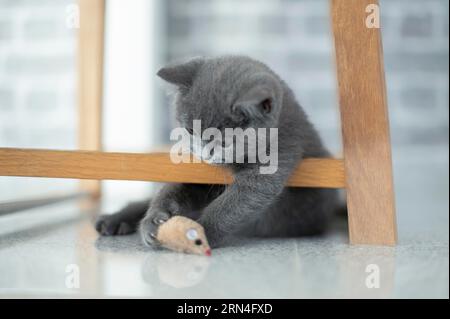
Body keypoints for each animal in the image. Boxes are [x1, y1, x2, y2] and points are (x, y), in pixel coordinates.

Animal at [96, 56, 340, 249]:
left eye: (225, 140)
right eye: (190, 130)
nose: (204, 152)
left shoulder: (279, 156)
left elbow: (235, 203)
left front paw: (200, 232)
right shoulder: (198, 173)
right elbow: (170, 190)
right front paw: (154, 221)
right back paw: (113, 220)